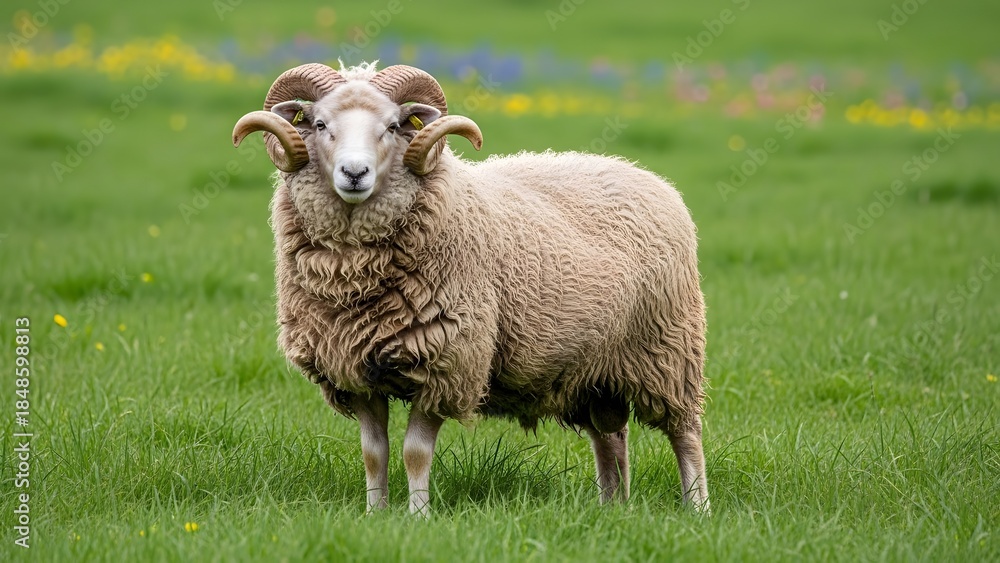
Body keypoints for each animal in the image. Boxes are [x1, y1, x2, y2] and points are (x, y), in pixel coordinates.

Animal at [232, 61, 710, 516]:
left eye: (392, 126)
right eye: (319, 124)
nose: (354, 173)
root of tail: (644, 175)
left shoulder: (447, 364)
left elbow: (414, 453)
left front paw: (417, 516)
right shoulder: (356, 371)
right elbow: (373, 454)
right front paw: (375, 514)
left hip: (667, 352)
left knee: (685, 433)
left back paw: (698, 509)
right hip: (592, 372)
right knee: (611, 437)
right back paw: (613, 507)